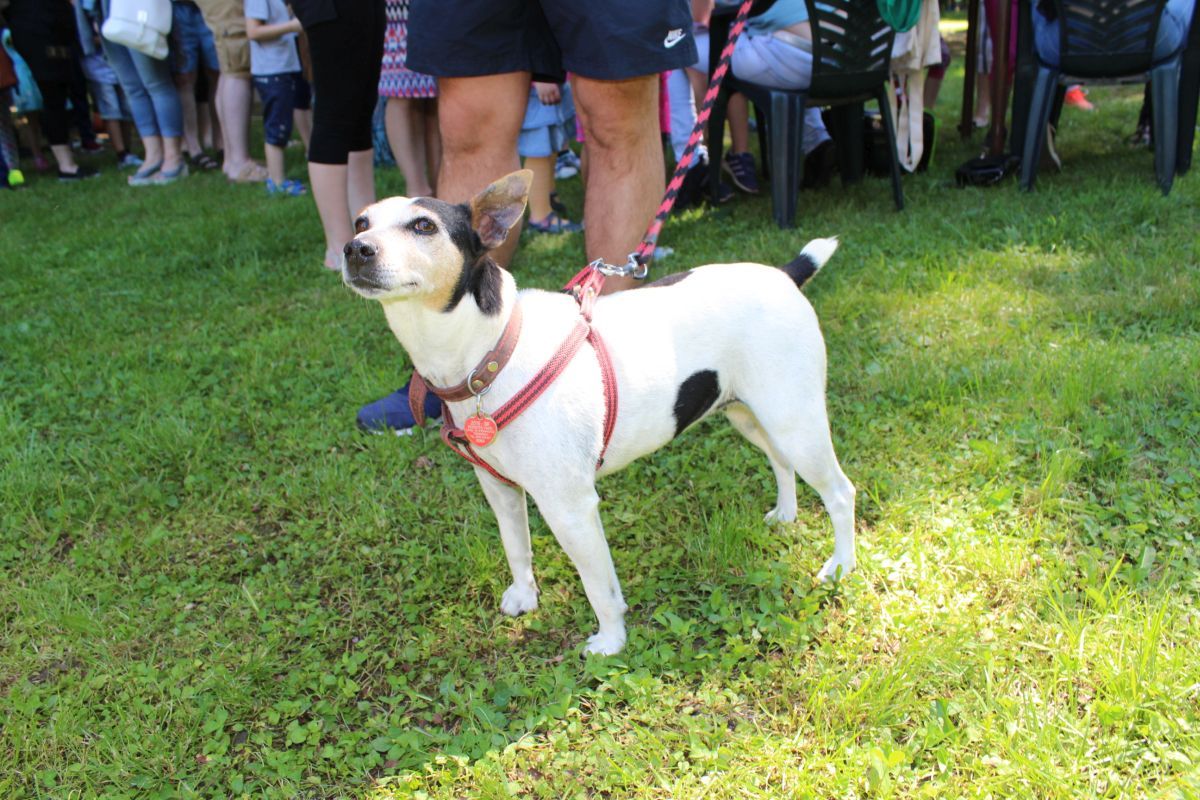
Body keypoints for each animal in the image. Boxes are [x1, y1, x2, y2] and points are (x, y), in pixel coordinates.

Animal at [342, 170, 855, 655]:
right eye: (361, 222)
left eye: (423, 226)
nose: (354, 249)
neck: (491, 350)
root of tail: (785, 275)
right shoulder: (499, 490)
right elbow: (516, 548)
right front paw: (524, 596)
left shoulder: (570, 508)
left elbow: (599, 587)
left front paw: (611, 642)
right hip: (748, 413)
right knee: (780, 459)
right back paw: (786, 513)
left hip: (796, 419)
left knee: (840, 492)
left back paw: (842, 564)